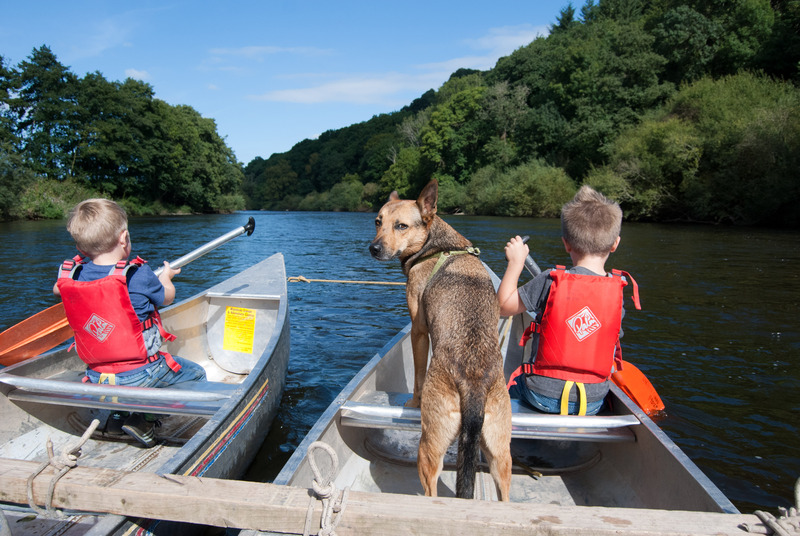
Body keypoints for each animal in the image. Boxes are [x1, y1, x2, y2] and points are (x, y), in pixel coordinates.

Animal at [368, 181, 512, 502]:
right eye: (378, 222)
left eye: (401, 225)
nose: (374, 248)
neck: (435, 246)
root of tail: (474, 387)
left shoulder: (419, 330)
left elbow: (418, 377)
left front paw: (413, 402)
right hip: (500, 452)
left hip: (429, 448)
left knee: (431, 491)